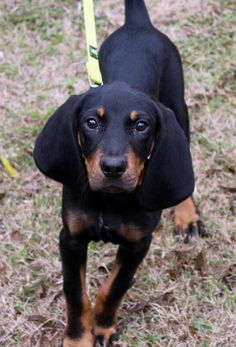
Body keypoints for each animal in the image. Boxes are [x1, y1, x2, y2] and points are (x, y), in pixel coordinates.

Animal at [34, 0, 202, 347]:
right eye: (91, 123)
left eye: (141, 126)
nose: (112, 168)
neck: (110, 201)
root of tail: (138, 23)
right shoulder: (70, 238)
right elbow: (75, 293)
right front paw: (77, 338)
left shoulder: (138, 243)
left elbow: (114, 286)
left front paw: (102, 326)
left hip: (178, 106)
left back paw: (186, 214)